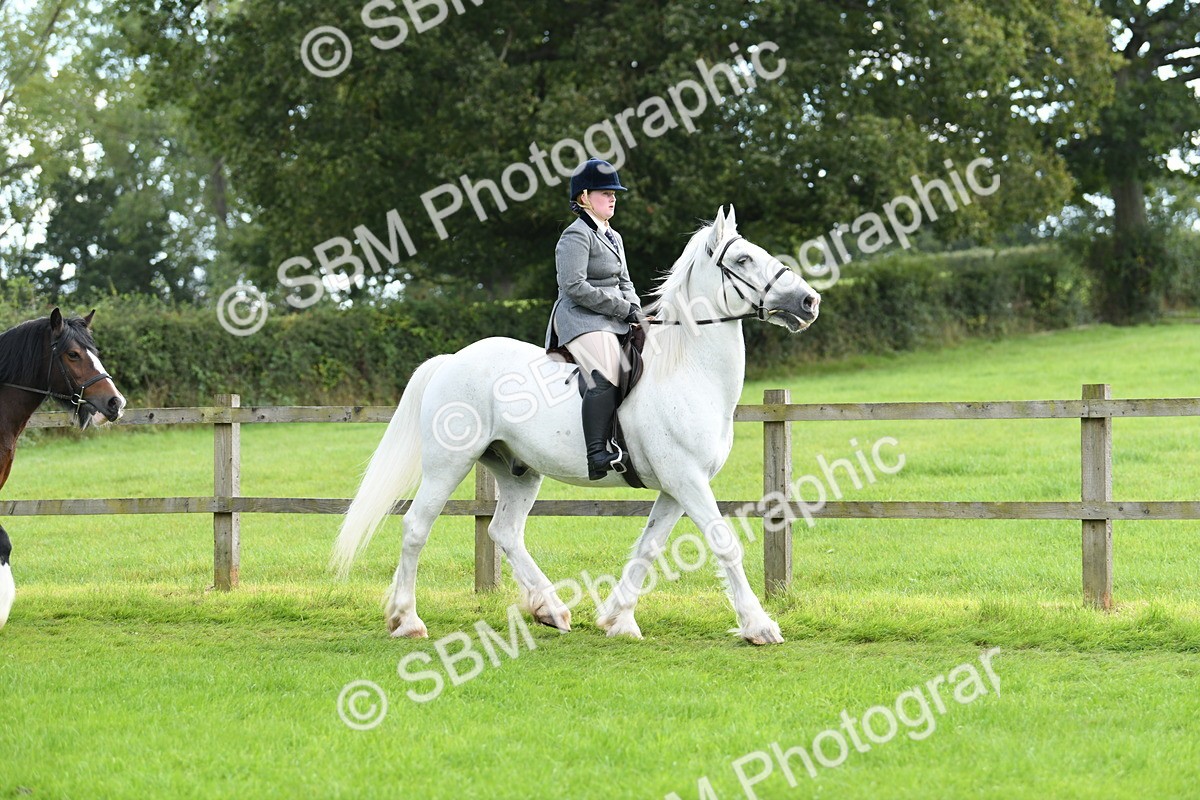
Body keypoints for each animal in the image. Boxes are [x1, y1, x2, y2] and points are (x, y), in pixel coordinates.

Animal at [333, 206, 821, 645]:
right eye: (743, 260)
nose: (809, 302)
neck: (687, 370)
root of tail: (452, 360)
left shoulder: (675, 486)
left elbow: (648, 547)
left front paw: (619, 620)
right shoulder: (688, 480)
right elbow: (724, 542)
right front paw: (759, 627)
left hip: (518, 470)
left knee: (504, 531)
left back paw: (550, 609)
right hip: (447, 464)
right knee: (417, 527)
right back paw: (406, 621)